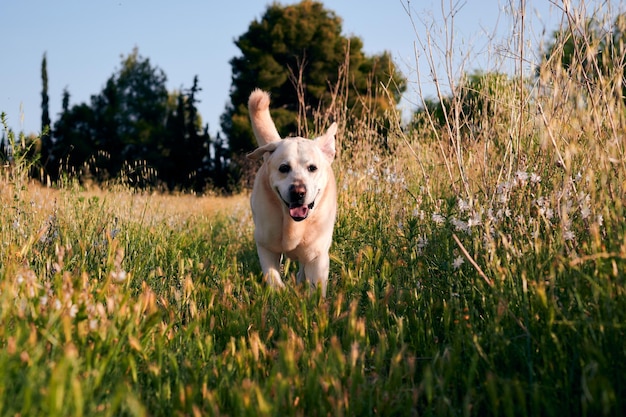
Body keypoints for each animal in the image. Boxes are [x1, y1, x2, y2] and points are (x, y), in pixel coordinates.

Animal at [247, 88, 336, 296]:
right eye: (284, 168)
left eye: (312, 168)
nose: (298, 192)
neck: (292, 225)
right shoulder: (265, 246)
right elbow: (273, 277)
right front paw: (279, 294)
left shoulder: (318, 257)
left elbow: (316, 288)